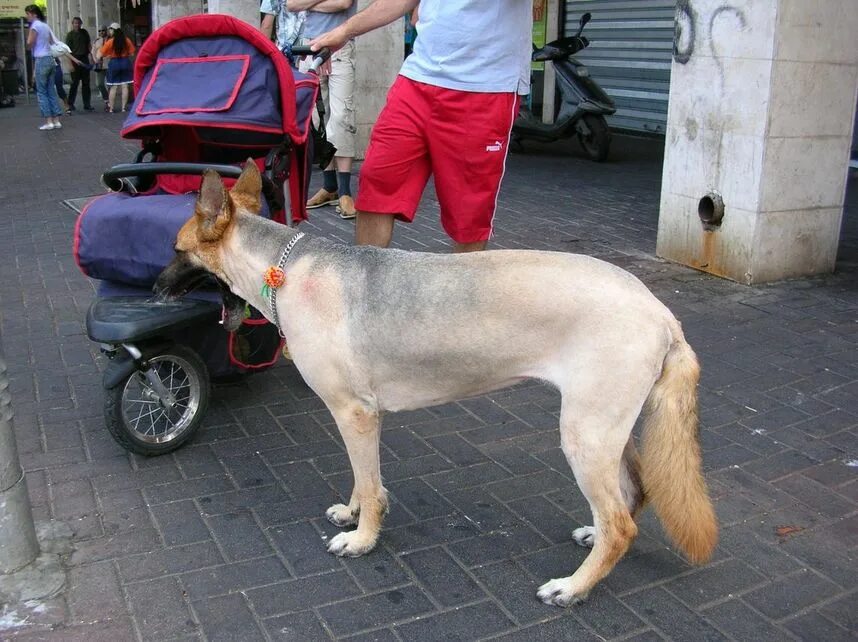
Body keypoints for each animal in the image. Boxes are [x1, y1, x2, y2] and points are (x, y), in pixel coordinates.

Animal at [154, 162, 716, 604]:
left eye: (176, 250)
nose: (155, 288)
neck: (285, 266)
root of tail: (661, 313)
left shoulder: (354, 414)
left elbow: (371, 486)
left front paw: (363, 538)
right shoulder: (361, 419)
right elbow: (363, 478)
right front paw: (353, 513)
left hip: (585, 434)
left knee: (621, 525)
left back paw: (574, 587)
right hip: (606, 428)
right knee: (633, 492)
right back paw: (591, 537)